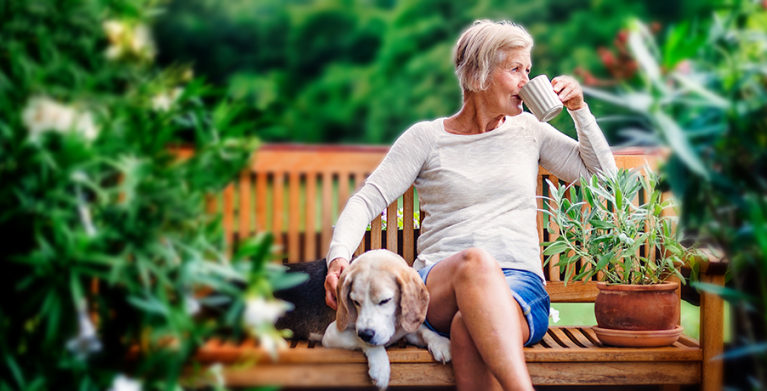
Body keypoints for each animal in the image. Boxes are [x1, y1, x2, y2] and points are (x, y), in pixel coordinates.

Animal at [322, 250, 452, 390]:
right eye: (355, 302)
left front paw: (440, 342)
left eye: (385, 301)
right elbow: (360, 338)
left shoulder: (405, 330)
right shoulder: (331, 333)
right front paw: (380, 368)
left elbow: (424, 331)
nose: (365, 334)